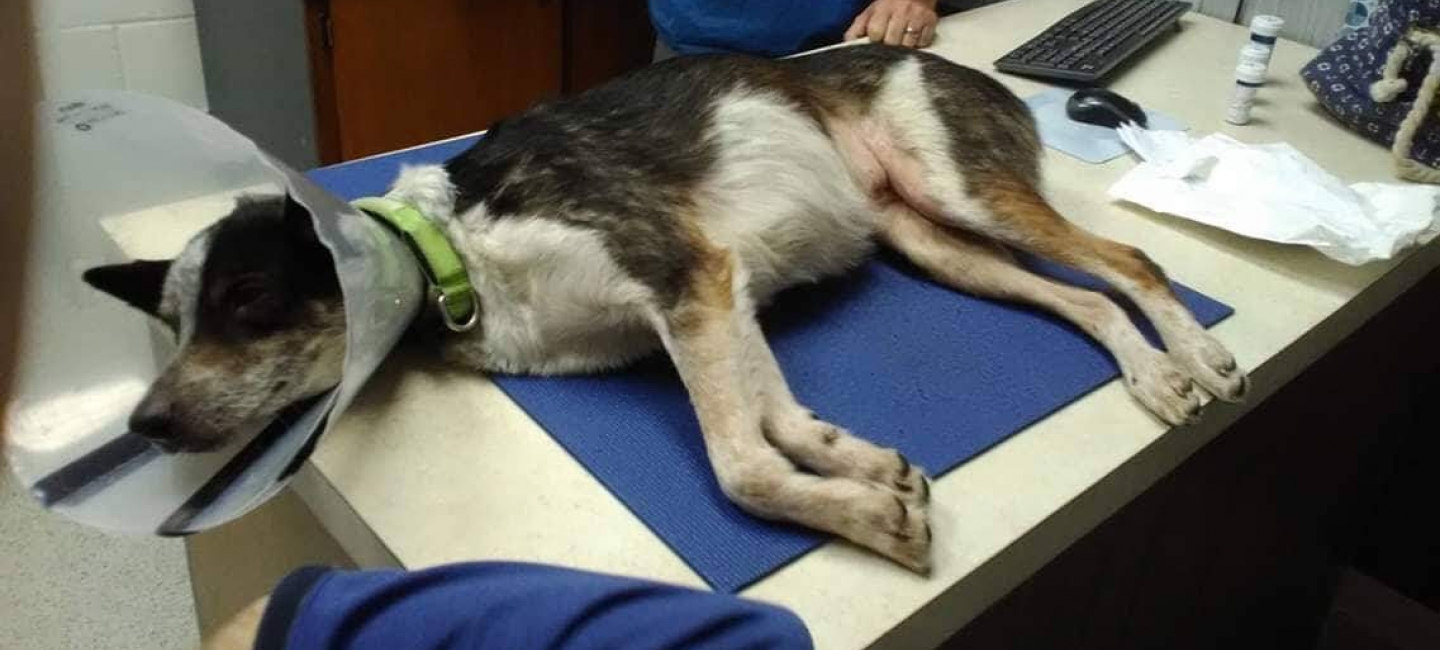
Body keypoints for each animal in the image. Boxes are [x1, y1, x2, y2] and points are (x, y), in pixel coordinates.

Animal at [84, 45, 1244, 573]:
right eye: (174, 323)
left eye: (246, 298)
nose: (148, 422)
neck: (455, 255)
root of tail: (956, 60)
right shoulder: (718, 296)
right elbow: (779, 424)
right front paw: (868, 473)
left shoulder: (685, 277)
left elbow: (740, 466)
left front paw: (868, 519)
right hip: (929, 239)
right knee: (1080, 299)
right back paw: (1152, 374)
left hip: (960, 188)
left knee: (1130, 259)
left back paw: (1198, 353)